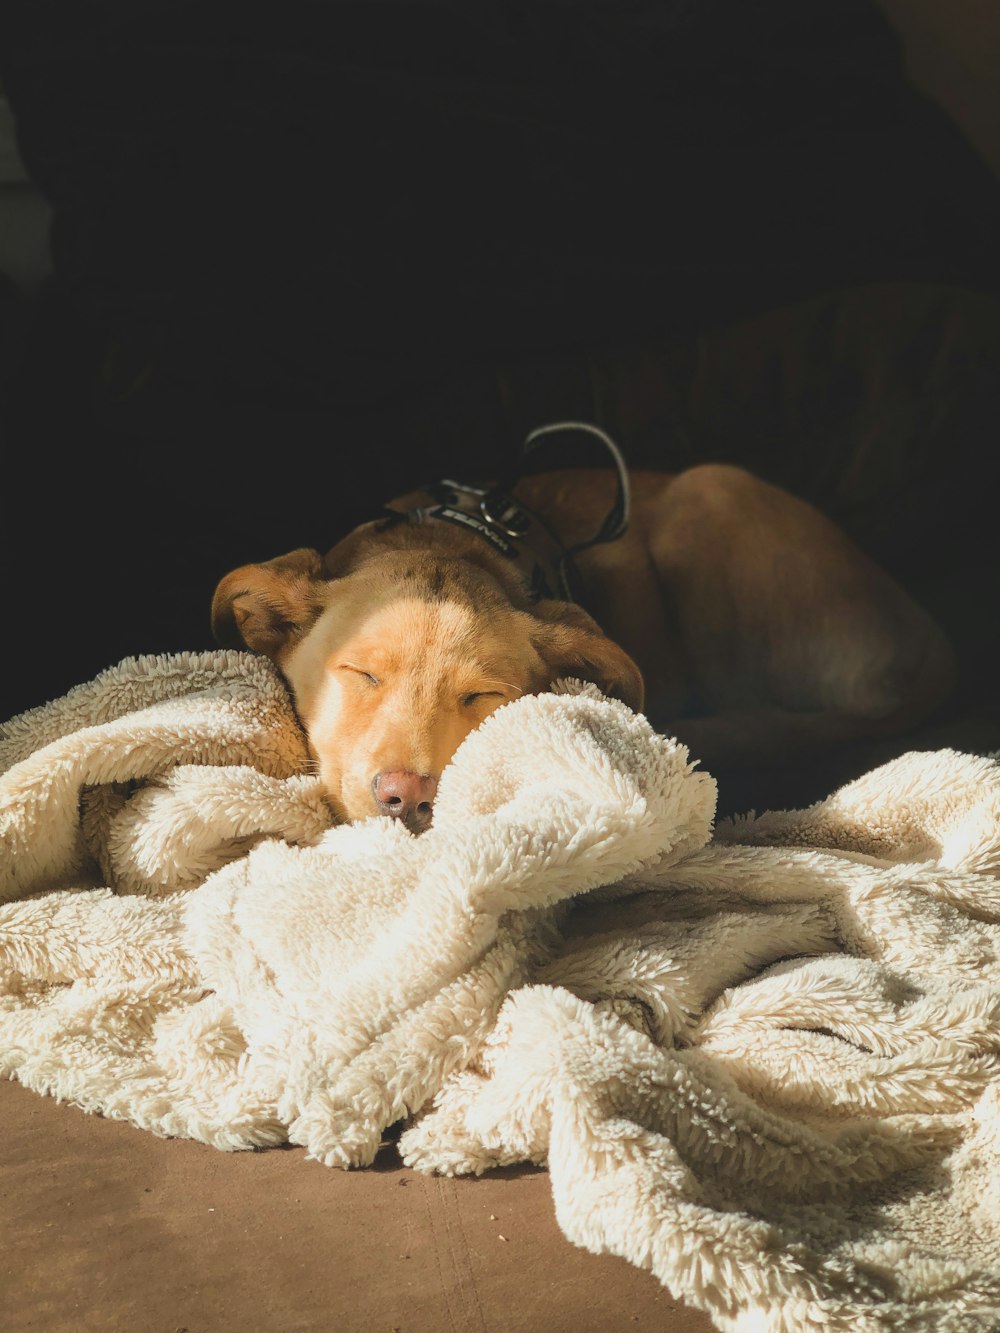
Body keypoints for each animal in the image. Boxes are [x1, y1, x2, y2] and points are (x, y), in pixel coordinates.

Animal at [212, 426, 954, 826]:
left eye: (483, 695)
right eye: (360, 672)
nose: (407, 798)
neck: (456, 542)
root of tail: (930, 650)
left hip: (708, 493)